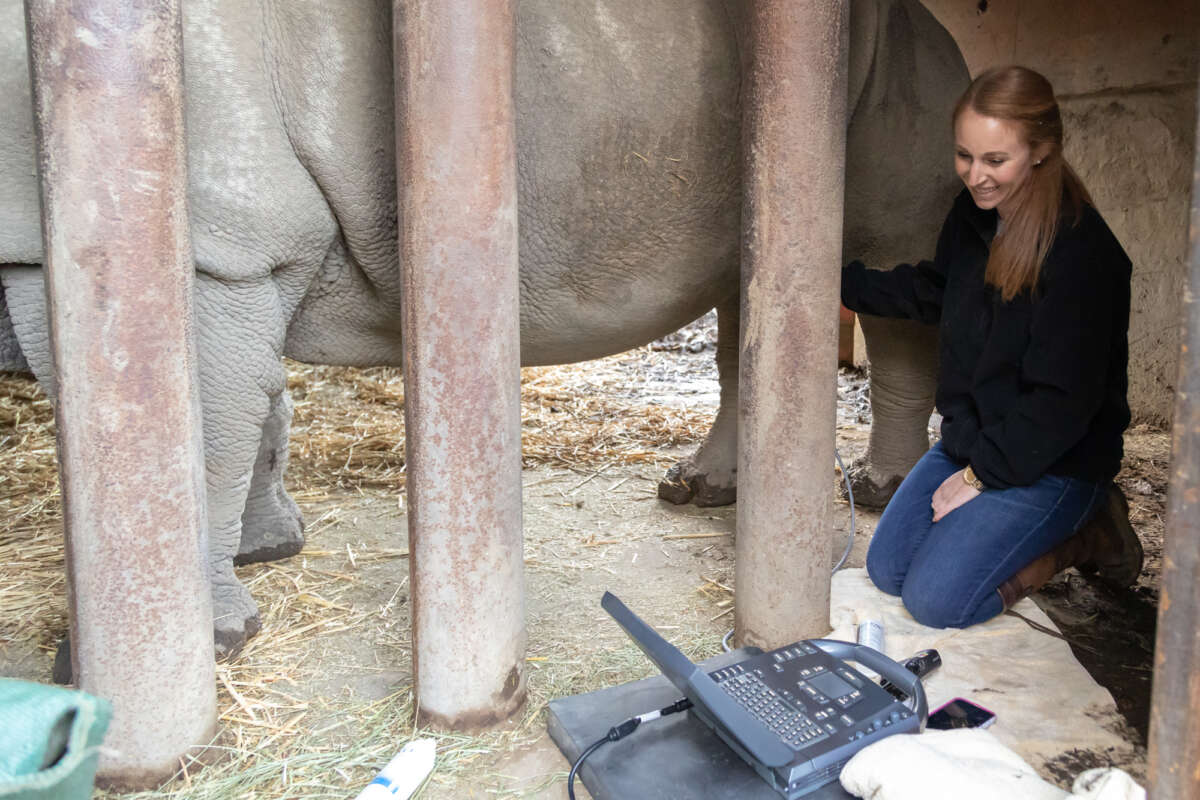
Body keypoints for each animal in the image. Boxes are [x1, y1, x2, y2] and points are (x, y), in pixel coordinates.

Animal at [0, 0, 967, 656]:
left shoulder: (211, 240)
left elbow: (176, 433)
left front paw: (197, 642)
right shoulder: (194, 249)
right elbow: (233, 408)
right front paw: (266, 552)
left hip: (901, 65)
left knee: (887, 267)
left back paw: (880, 489)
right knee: (754, 284)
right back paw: (706, 491)